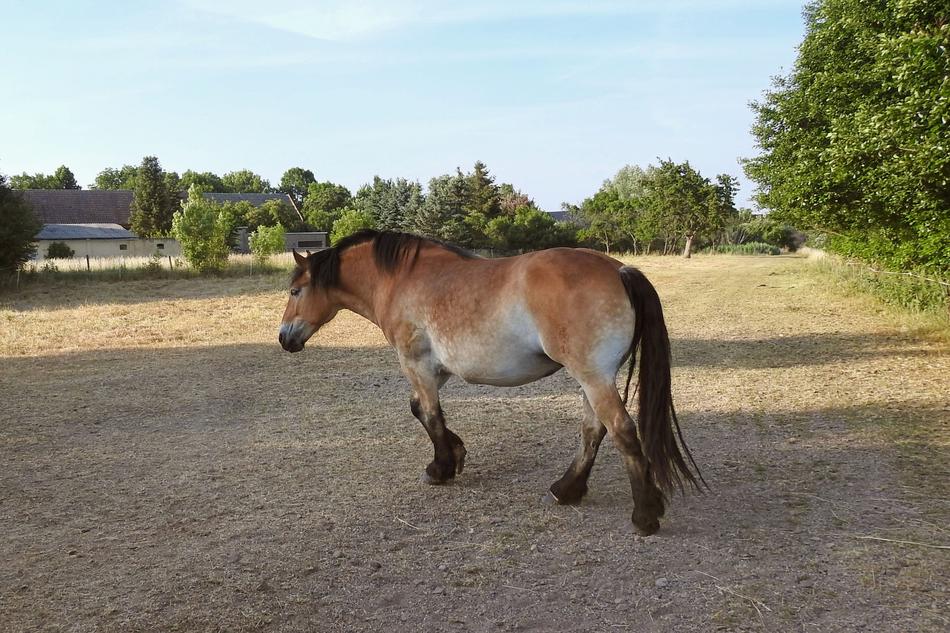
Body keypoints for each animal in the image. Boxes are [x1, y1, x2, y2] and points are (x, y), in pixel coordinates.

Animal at [279, 229, 703, 536]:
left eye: (295, 290)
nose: (284, 338)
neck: (400, 280)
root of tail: (618, 270)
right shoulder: (439, 369)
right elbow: (420, 410)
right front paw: (457, 454)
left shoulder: (416, 364)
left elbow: (430, 415)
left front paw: (441, 468)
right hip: (593, 378)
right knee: (593, 431)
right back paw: (567, 490)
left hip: (593, 376)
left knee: (622, 432)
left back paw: (644, 516)